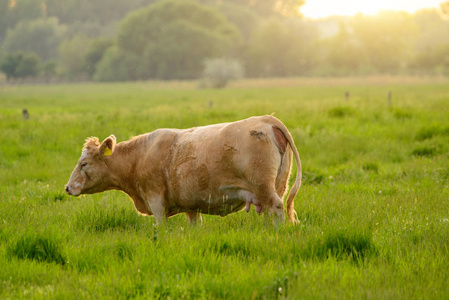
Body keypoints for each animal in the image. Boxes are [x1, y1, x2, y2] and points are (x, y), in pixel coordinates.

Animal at [65, 116, 300, 224]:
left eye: (83, 164)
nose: (67, 188)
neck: (139, 157)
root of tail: (265, 119)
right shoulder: (191, 206)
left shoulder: (156, 201)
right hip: (277, 185)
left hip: (264, 187)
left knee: (276, 207)